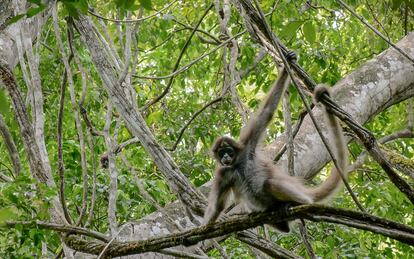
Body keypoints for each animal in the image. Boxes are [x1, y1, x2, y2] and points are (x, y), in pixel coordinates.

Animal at [202, 53, 348, 234]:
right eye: (221, 153)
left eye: (228, 150)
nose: (225, 157)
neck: (236, 164)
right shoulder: (223, 173)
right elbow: (217, 206)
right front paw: (205, 227)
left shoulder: (247, 145)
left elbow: (267, 112)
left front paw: (286, 67)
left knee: (270, 183)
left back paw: (298, 203)